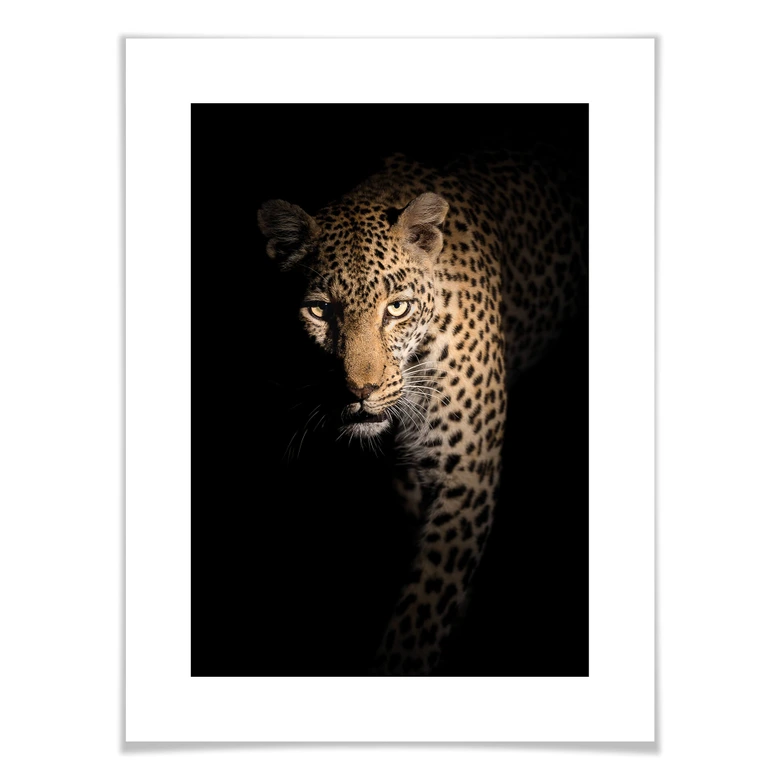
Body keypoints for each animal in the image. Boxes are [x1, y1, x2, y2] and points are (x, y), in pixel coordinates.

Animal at [258, 149, 586, 675]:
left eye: (397, 308)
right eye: (319, 311)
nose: (361, 390)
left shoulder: (466, 475)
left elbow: (422, 612)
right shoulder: (408, 479)